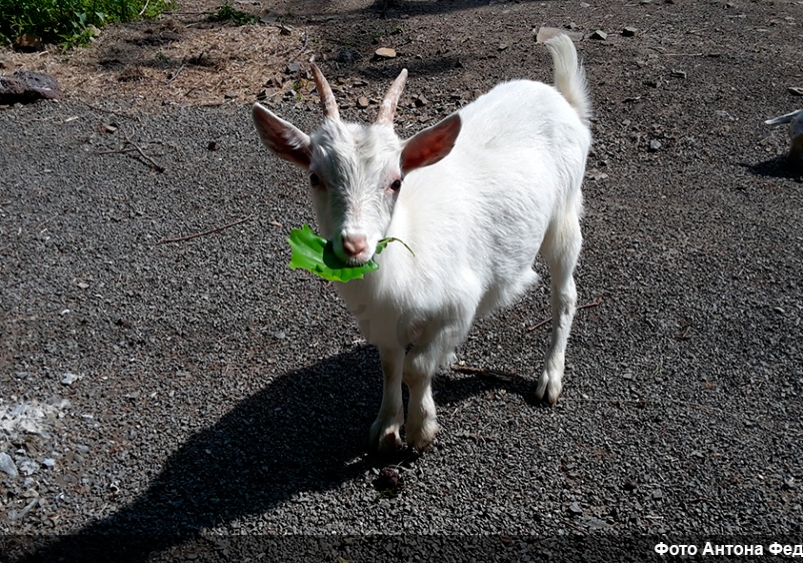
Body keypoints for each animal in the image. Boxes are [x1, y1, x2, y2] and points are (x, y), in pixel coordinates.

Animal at [254, 35, 592, 456]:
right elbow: (390, 365)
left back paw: (550, 379)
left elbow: (416, 368)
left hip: (564, 216)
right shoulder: (381, 321)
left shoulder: (459, 306)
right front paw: (386, 428)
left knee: (566, 294)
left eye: (396, 181)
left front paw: (420, 429)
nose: (354, 245)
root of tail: (564, 100)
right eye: (315, 177)